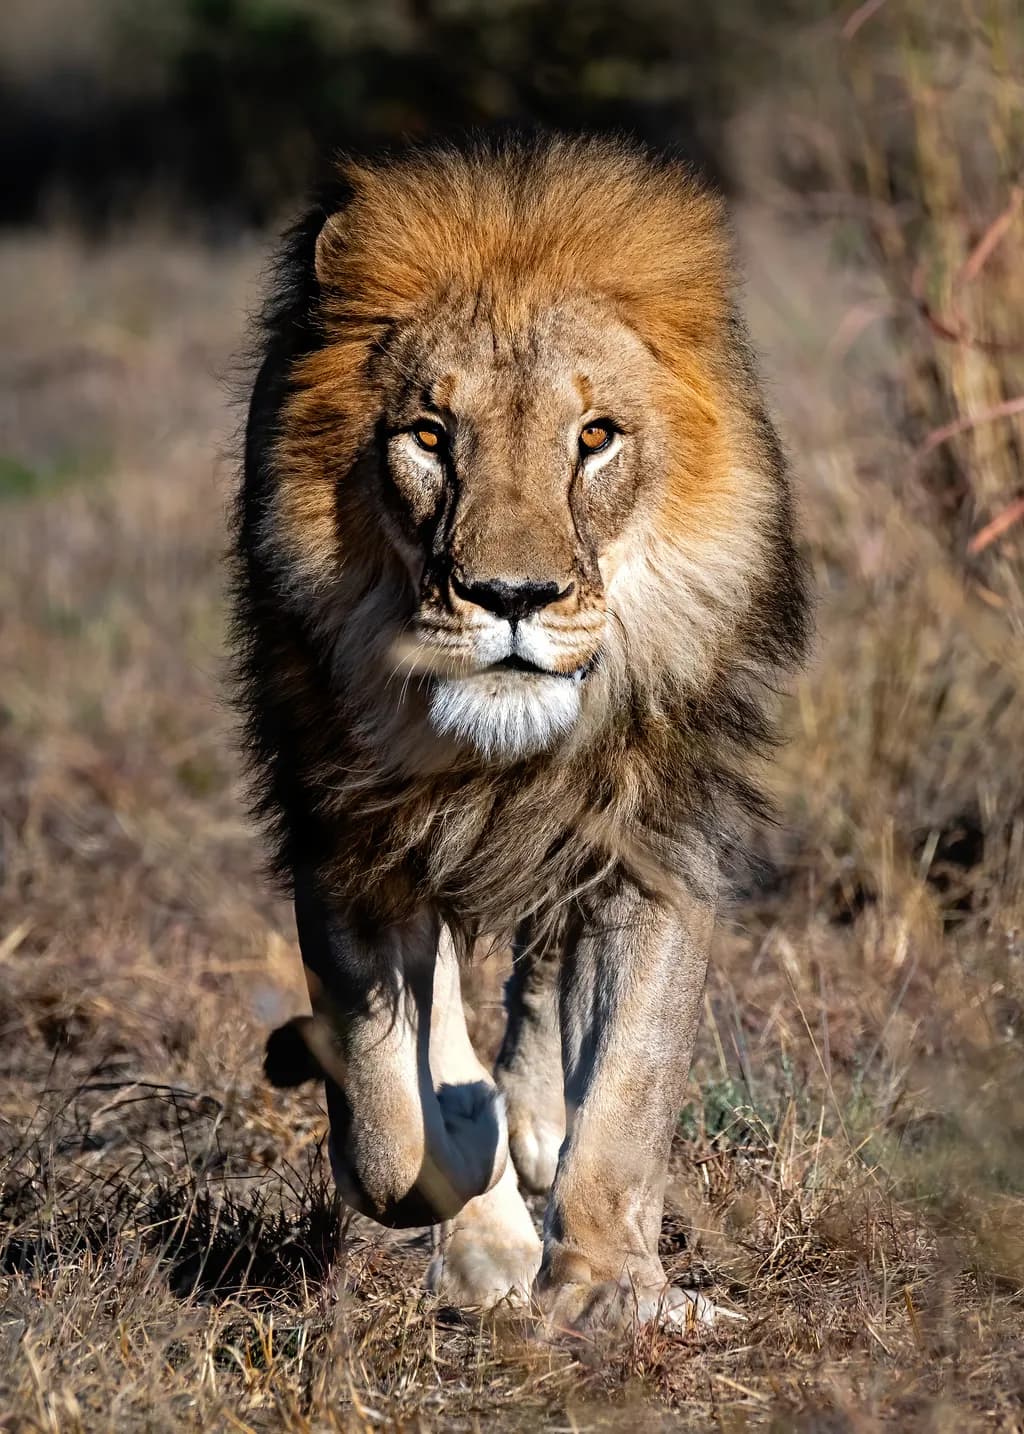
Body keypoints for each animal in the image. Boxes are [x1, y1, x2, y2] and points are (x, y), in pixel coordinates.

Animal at [233, 134, 808, 1332]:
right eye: (427, 436)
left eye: (593, 438)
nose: (510, 595)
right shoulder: (342, 834)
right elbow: (388, 1114)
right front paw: (468, 1192)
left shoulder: (657, 844)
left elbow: (629, 1088)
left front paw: (610, 1286)